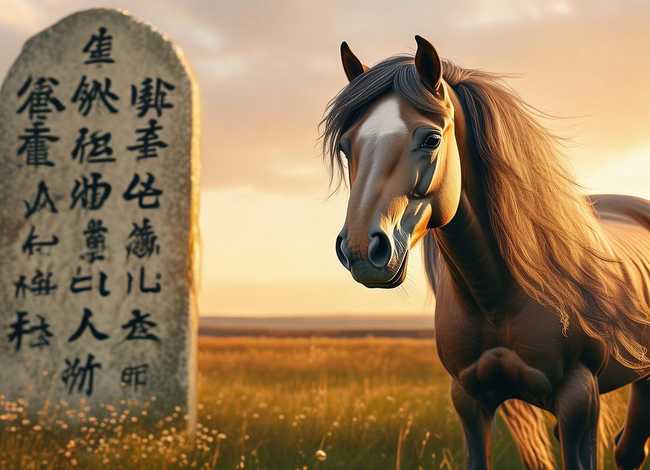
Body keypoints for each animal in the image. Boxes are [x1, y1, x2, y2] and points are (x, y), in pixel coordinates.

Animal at [321, 36, 650, 470]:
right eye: (346, 146)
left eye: (431, 139)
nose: (362, 248)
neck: (499, 297)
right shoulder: (469, 399)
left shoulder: (578, 397)